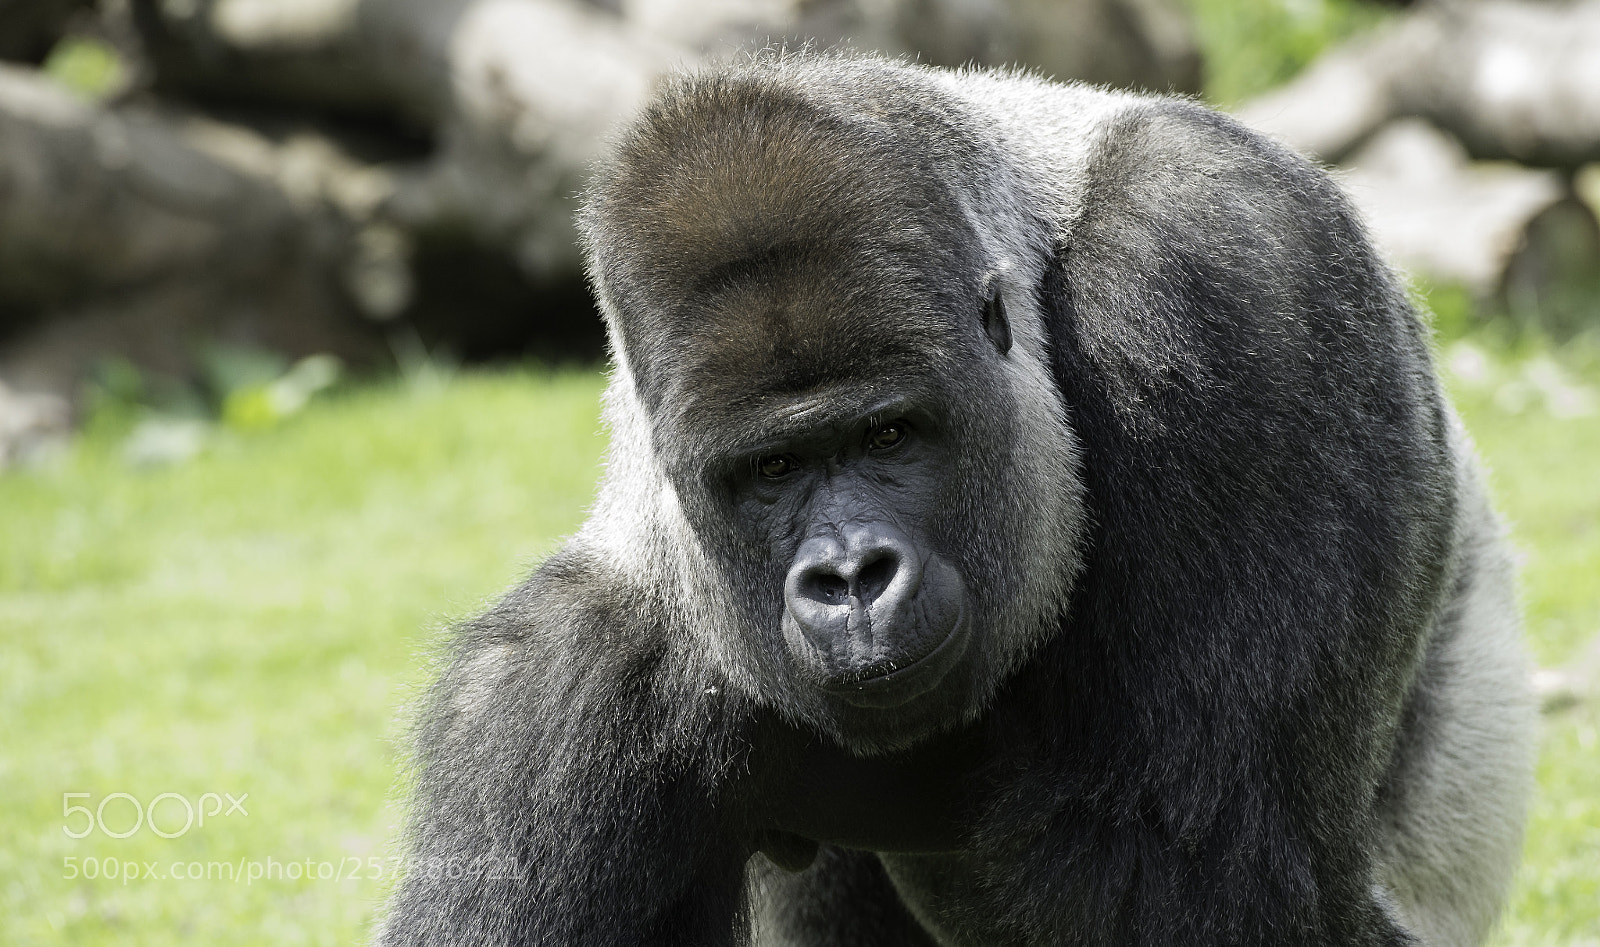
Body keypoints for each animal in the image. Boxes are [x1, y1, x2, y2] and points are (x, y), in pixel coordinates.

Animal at [378, 51, 1534, 946]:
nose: (849, 576)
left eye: (891, 434)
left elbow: (1196, 877)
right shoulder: (532, 706)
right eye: (771, 470)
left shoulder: (1228, 267)